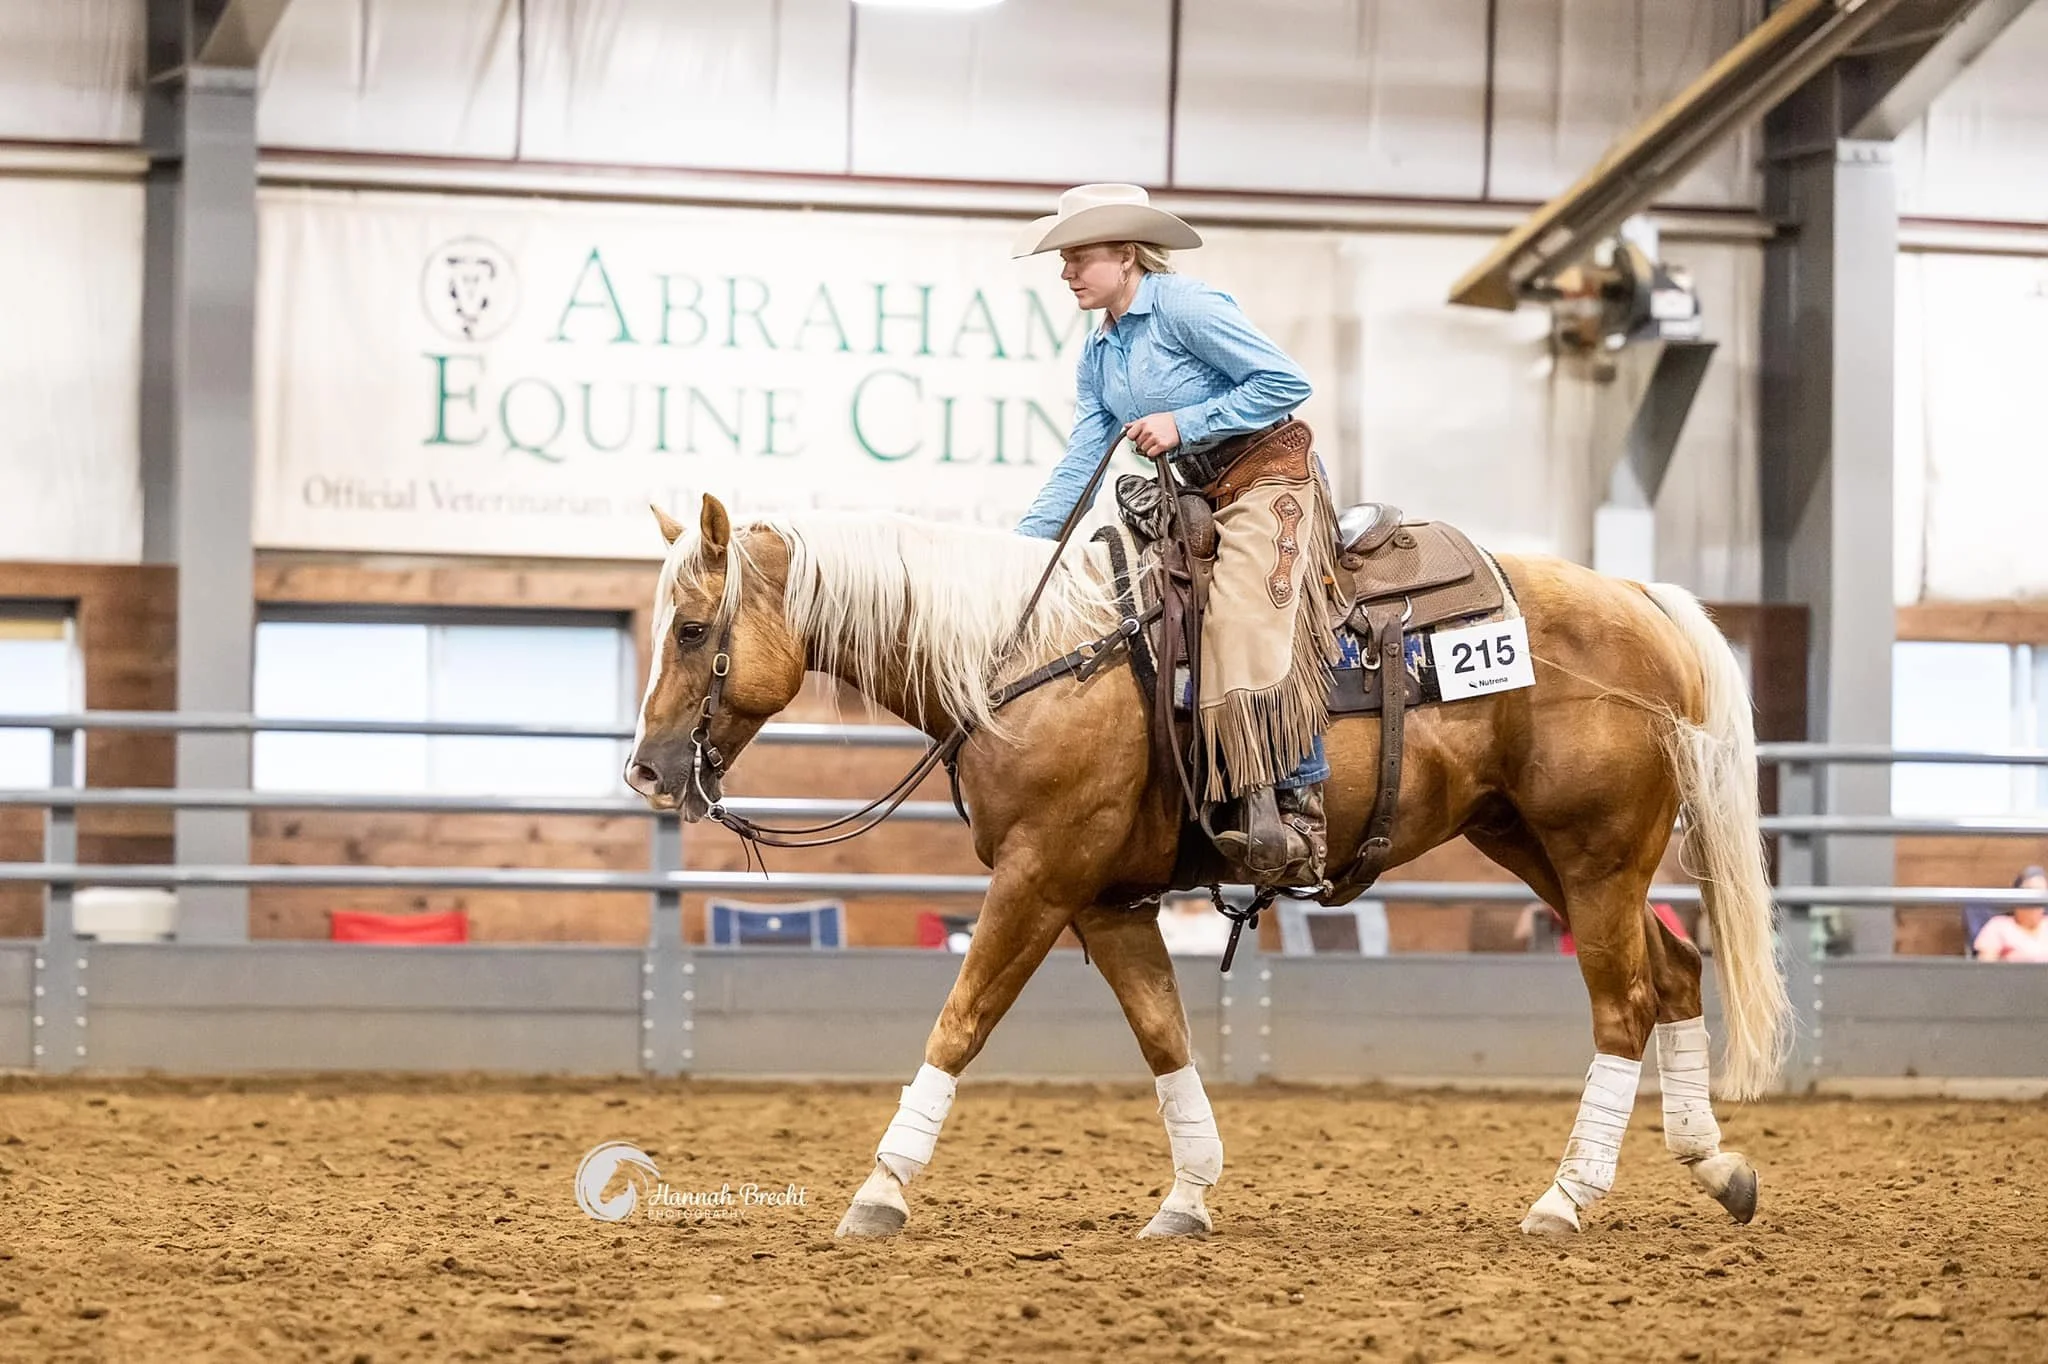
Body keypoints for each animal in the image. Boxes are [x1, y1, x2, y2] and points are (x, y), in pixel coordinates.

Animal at [625, 494, 1790, 1241]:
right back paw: (1718, 1167)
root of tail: (1639, 598)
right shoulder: (1102, 899)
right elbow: (1162, 1034)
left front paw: (879, 1188)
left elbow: (960, 1021)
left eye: (692, 628)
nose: (645, 769)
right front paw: (1186, 1197)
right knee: (1674, 972)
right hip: (1542, 849)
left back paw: (1565, 1198)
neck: (1029, 659)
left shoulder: (1037, 878)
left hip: (1594, 857)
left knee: (1622, 1002)